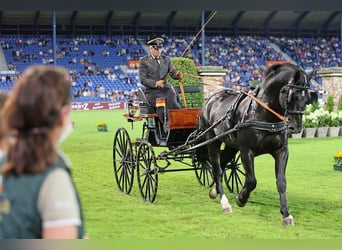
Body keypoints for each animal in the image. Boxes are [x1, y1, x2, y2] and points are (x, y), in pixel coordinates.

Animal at [196, 62, 316, 225]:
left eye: (308, 97)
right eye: (291, 94)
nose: (295, 127)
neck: (263, 114)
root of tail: (211, 99)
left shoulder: (281, 151)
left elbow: (281, 182)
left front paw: (286, 214)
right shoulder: (246, 150)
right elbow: (251, 180)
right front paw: (241, 198)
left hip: (231, 145)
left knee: (222, 163)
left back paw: (214, 191)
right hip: (212, 140)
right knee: (217, 169)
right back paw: (225, 203)